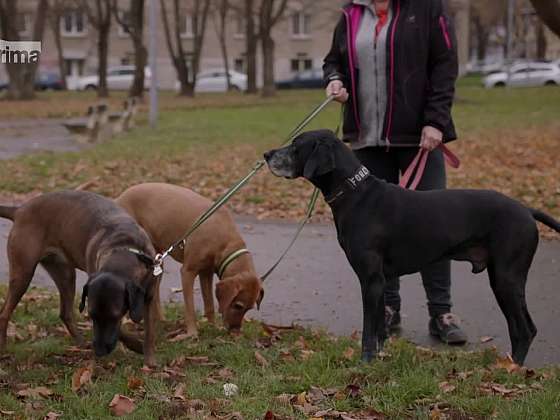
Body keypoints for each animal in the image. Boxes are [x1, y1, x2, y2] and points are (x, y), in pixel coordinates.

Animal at [0, 192, 160, 366]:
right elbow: (122, 332)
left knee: (65, 313)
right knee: (4, 313)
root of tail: (19, 210)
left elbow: (150, 332)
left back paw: (81, 343)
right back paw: (3, 348)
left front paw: (150, 360)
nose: (99, 351)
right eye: (91, 316)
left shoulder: (150, 297)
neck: (124, 248)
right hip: (23, 273)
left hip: (65, 274)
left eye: (114, 316)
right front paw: (136, 345)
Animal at [115, 182, 264, 336]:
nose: (235, 332)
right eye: (238, 306)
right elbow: (190, 308)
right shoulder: (188, 272)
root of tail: (120, 197)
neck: (223, 239)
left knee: (154, 292)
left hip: (158, 262)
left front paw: (213, 326)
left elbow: (209, 304)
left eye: (248, 308)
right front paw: (192, 333)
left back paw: (160, 319)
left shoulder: (206, 273)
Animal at [264, 130, 560, 362]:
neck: (355, 193)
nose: (267, 154)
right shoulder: (380, 281)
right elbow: (380, 329)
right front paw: (378, 359)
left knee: (524, 329)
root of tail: (527, 210)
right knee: (523, 329)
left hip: (506, 278)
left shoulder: (370, 279)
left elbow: (368, 330)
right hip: (504, 281)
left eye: (296, 146)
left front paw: (364, 362)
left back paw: (513, 369)